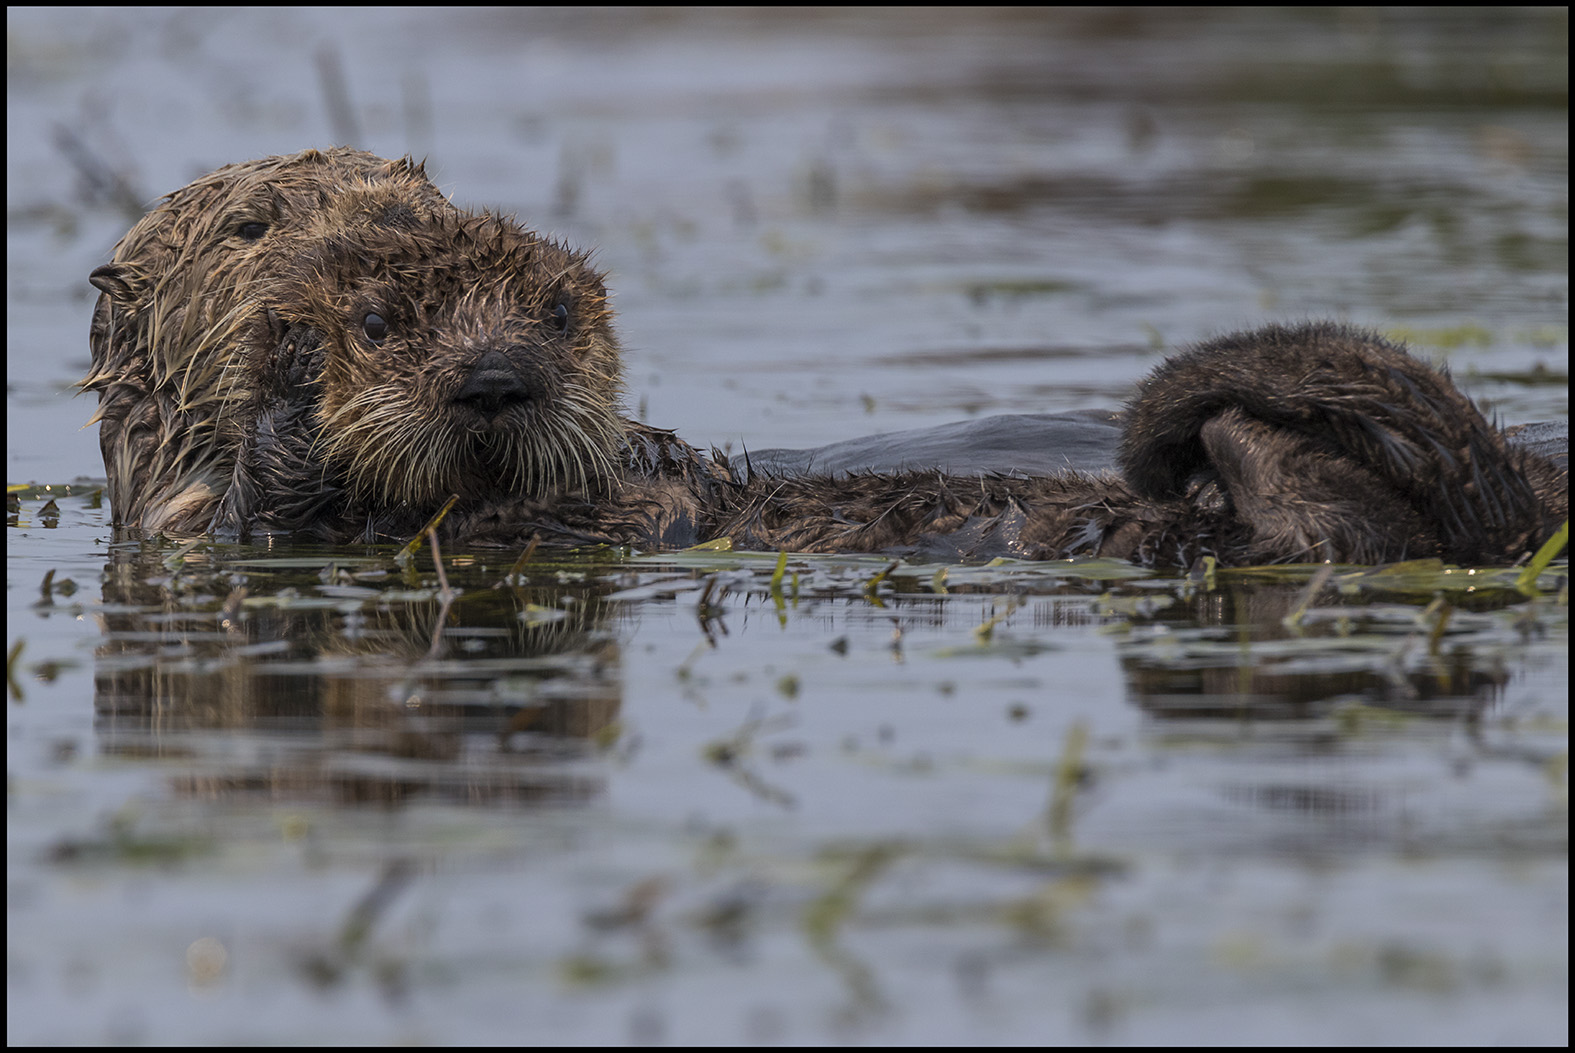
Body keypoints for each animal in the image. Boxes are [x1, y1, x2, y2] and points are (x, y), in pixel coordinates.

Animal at [83, 147, 1562, 566]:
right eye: (253, 224)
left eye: (416, 194)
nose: (495, 377)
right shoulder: (191, 525)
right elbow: (261, 514)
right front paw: (287, 392)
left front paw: (649, 446)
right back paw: (1235, 449)